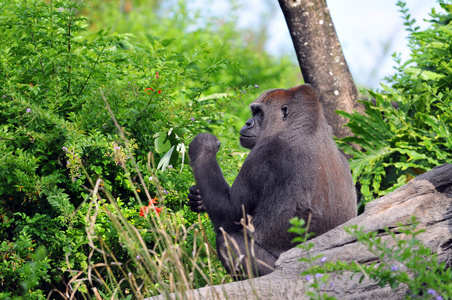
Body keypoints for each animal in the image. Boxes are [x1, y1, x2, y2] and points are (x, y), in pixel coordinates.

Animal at [187, 84, 356, 278]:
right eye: (253, 112)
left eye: (259, 113)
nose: (248, 123)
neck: (305, 127)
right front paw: (198, 200)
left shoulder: (263, 152)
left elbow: (229, 213)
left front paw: (203, 146)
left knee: (227, 239)